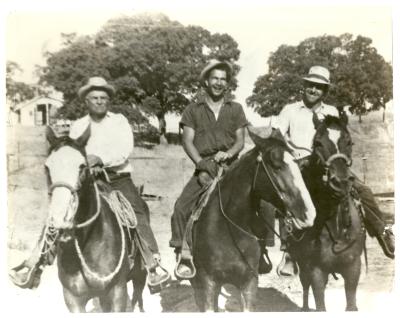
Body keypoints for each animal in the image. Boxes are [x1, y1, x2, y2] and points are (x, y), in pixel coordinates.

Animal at [45, 126, 145, 310]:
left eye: (82, 166)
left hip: (139, 277)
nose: (61, 218)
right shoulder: (73, 299)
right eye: (47, 167)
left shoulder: (117, 292)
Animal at [191, 126, 316, 310]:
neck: (229, 229)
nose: (309, 214)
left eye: (298, 166)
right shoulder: (208, 283)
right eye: (276, 166)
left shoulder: (248, 283)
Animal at [288, 115, 366, 312]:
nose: (341, 182)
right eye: (318, 143)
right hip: (303, 265)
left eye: (349, 141)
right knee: (305, 286)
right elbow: (319, 303)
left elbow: (351, 304)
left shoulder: (353, 269)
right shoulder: (316, 270)